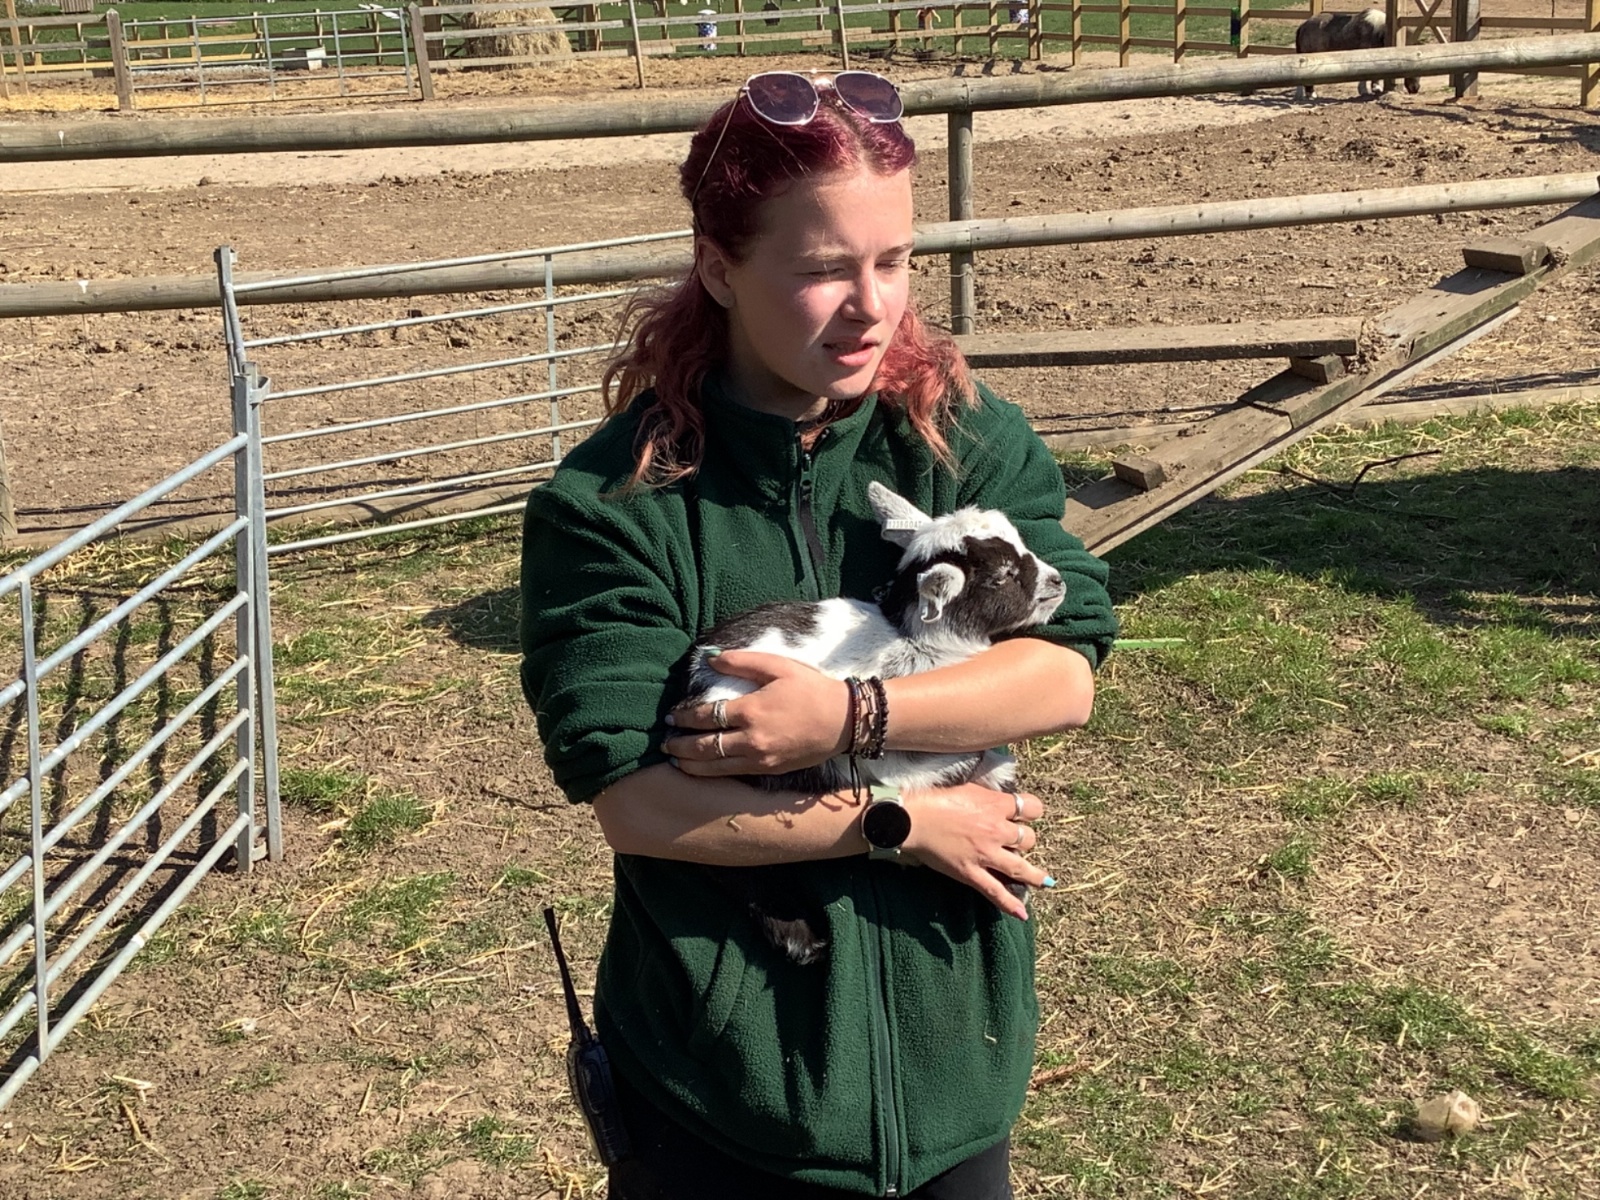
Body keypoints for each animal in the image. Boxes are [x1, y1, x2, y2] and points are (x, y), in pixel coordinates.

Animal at [682, 481, 1066, 964]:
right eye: (1002, 575)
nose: (1057, 582)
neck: (915, 640)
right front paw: (1011, 880)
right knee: (733, 867)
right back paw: (802, 940)